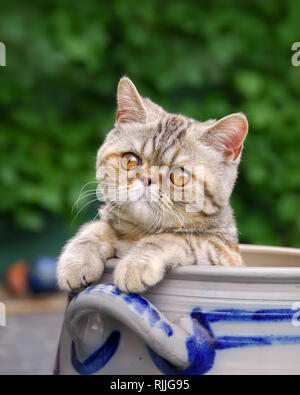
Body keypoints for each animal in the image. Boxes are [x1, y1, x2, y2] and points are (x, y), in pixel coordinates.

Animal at [56, 76, 248, 294]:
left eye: (179, 176)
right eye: (131, 160)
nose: (147, 179)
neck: (138, 233)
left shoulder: (224, 253)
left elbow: (174, 238)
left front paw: (136, 264)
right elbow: (95, 229)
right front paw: (77, 260)